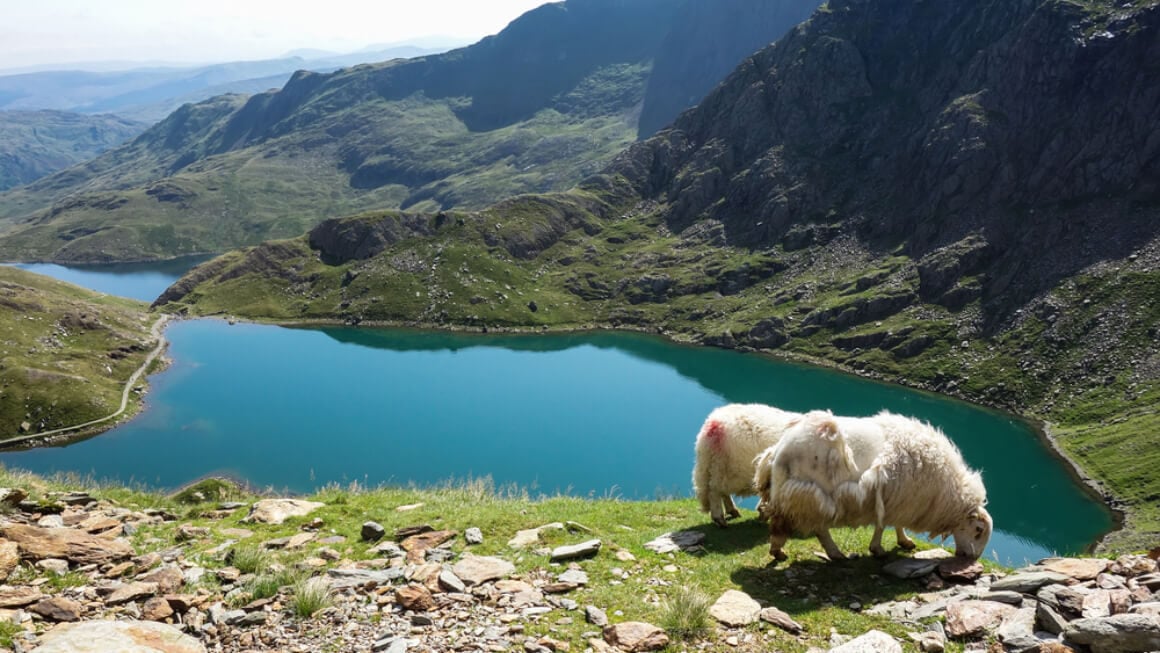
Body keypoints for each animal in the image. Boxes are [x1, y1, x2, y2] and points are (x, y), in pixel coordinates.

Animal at [756, 410, 992, 559]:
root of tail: (780, 451)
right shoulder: (895, 498)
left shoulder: (899, 498)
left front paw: (903, 541)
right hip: (812, 495)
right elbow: (883, 525)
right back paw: (829, 553)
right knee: (817, 528)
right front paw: (878, 548)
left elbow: (895, 524)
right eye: (978, 530)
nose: (972, 558)